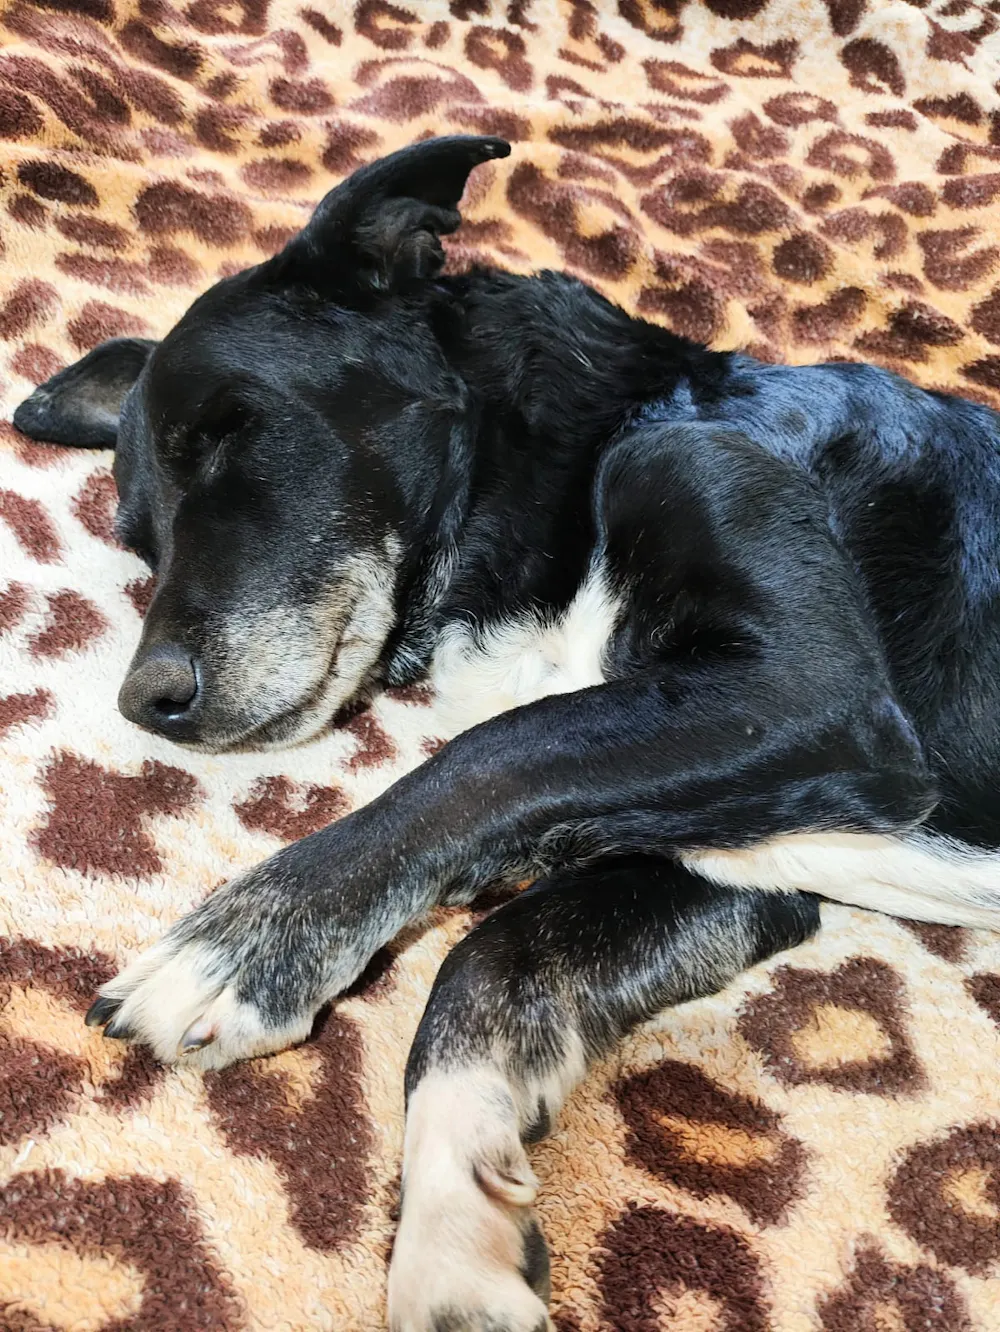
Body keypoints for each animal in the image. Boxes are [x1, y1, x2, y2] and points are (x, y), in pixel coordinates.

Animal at [14, 134, 1000, 1332]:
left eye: (230, 435)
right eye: (137, 534)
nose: (145, 701)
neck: (609, 435)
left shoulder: (813, 692)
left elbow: (482, 763)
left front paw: (240, 946)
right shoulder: (727, 858)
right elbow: (494, 961)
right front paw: (456, 1230)